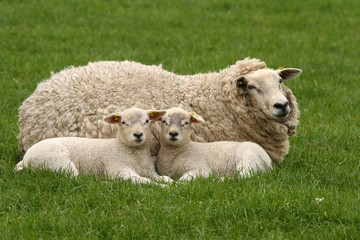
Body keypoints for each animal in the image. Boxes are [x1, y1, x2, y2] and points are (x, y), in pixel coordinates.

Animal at [14, 108, 172, 185]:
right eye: (123, 122)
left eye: (146, 121)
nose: (138, 135)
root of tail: (25, 159)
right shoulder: (119, 169)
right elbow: (143, 181)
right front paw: (163, 188)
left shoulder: (149, 171)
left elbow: (163, 178)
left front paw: (169, 183)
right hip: (57, 161)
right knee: (75, 179)